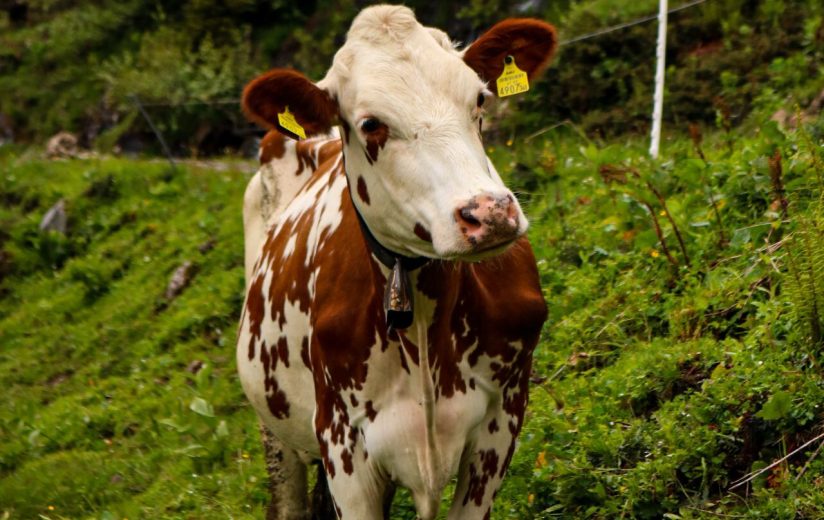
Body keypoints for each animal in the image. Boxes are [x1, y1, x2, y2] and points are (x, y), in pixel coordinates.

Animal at [235, 5, 556, 520]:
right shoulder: (344, 447)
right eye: (371, 124)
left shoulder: (502, 420)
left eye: (479, 98)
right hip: (277, 429)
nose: (490, 213)